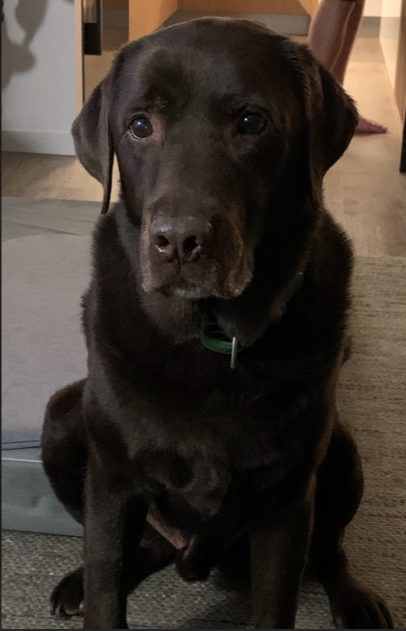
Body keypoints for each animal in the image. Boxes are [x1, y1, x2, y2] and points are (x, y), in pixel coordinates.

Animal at [42, 17, 394, 628]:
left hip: (342, 456)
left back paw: (354, 600)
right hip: (62, 421)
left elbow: (277, 603)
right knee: (140, 546)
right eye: (139, 125)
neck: (209, 339)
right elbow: (108, 590)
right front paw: (94, 588)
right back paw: (79, 582)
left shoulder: (287, 501)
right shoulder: (111, 482)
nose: (179, 241)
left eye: (252, 121)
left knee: (330, 549)